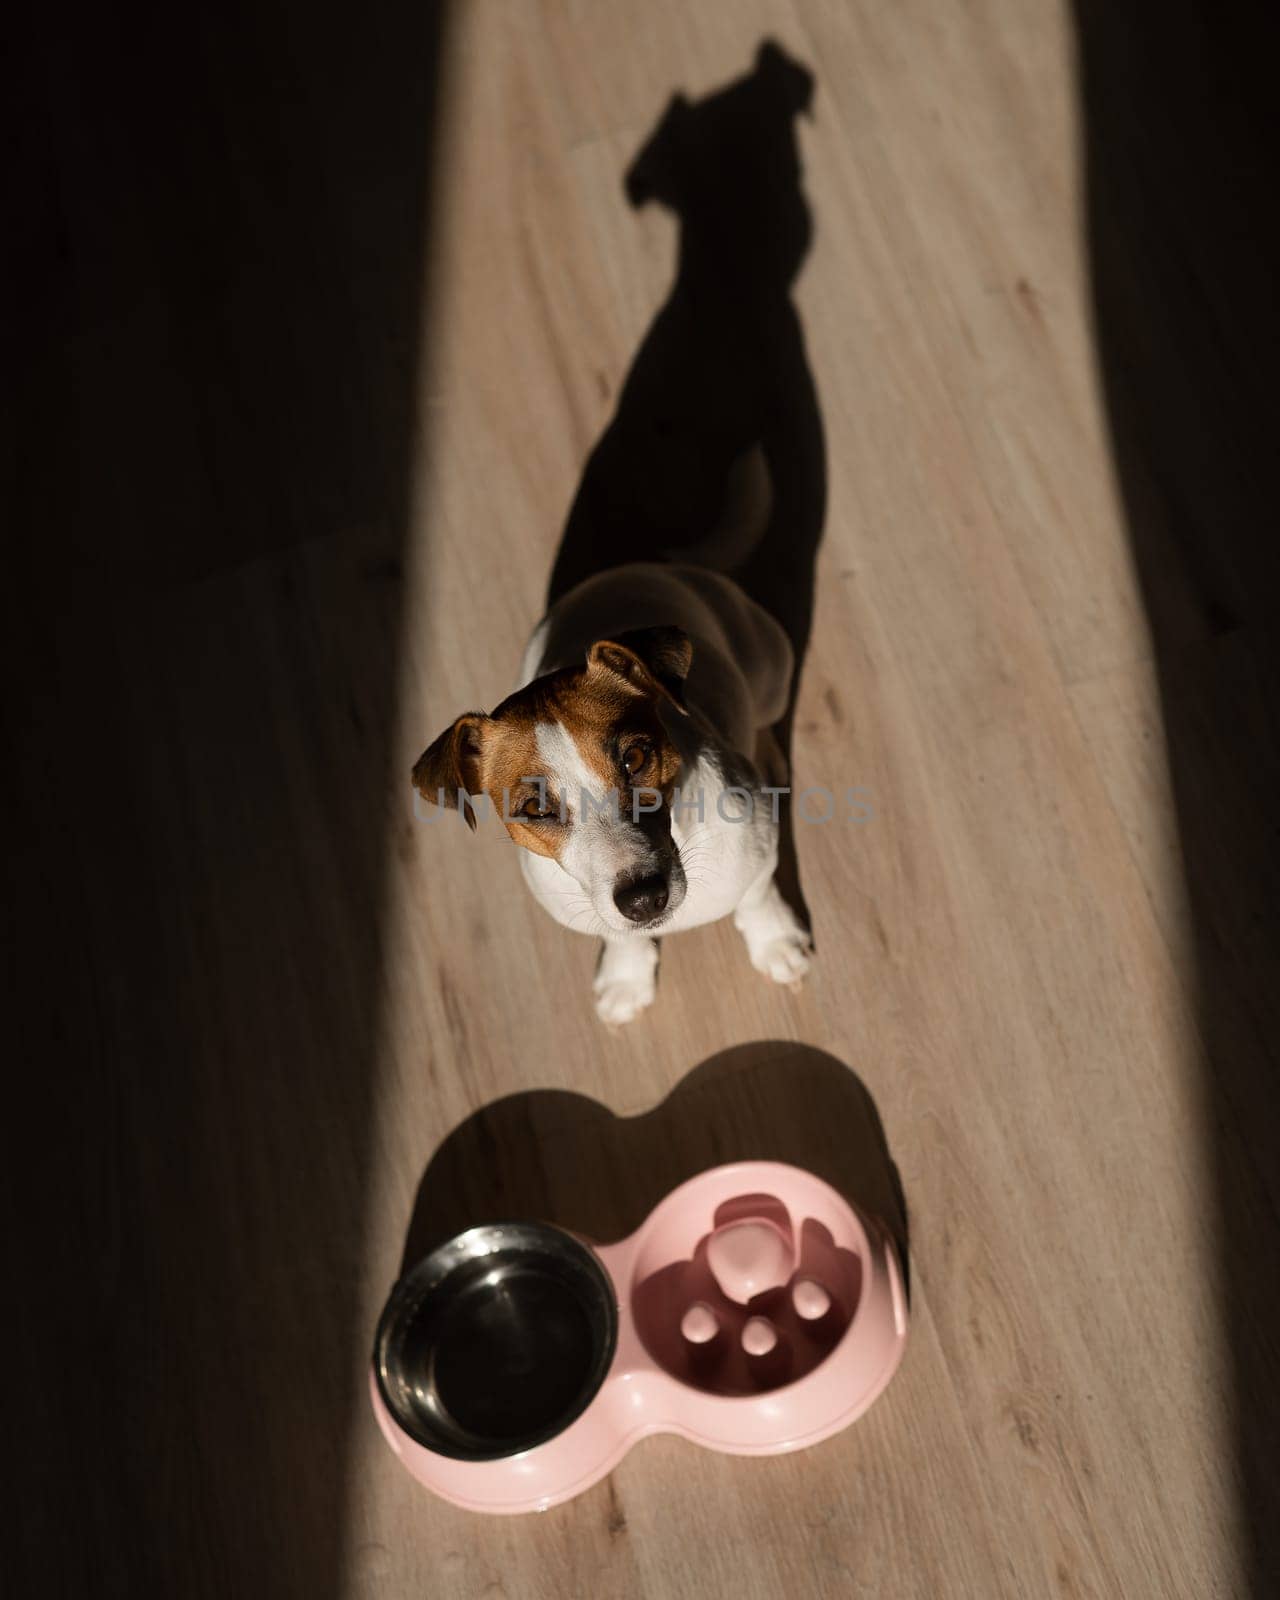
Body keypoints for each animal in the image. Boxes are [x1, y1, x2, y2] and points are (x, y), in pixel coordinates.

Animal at [409, 556, 809, 1017]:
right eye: (535, 809)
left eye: (634, 759)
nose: (642, 900)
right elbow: (619, 937)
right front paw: (626, 977)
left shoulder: (758, 842)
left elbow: (757, 897)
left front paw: (776, 942)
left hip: (772, 671)